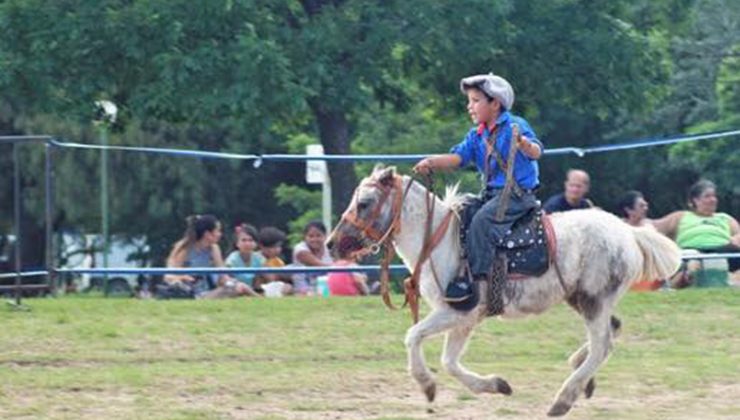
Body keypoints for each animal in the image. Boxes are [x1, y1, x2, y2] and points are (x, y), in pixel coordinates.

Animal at [330, 167, 684, 416]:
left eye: (364, 203)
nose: (333, 244)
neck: (440, 243)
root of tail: (628, 231)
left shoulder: (455, 311)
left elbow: (413, 336)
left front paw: (426, 385)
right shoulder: (465, 319)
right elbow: (449, 361)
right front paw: (495, 385)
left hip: (594, 300)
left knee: (603, 346)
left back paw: (563, 399)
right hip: (583, 299)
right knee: (612, 331)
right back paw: (581, 373)